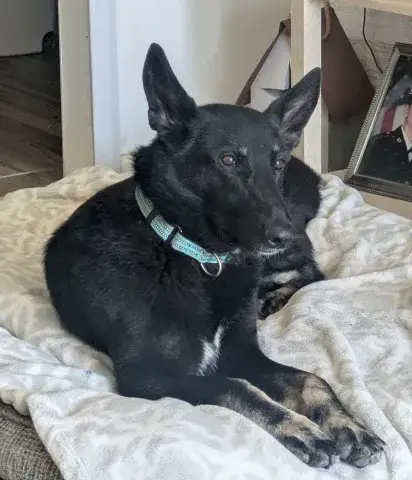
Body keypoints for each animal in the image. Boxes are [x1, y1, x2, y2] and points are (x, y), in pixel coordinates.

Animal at [44, 43, 384, 469]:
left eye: (276, 163)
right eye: (228, 160)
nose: (286, 233)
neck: (198, 256)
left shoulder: (241, 350)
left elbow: (311, 378)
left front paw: (347, 424)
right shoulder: (153, 375)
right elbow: (239, 389)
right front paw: (300, 428)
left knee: (311, 270)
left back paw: (274, 297)